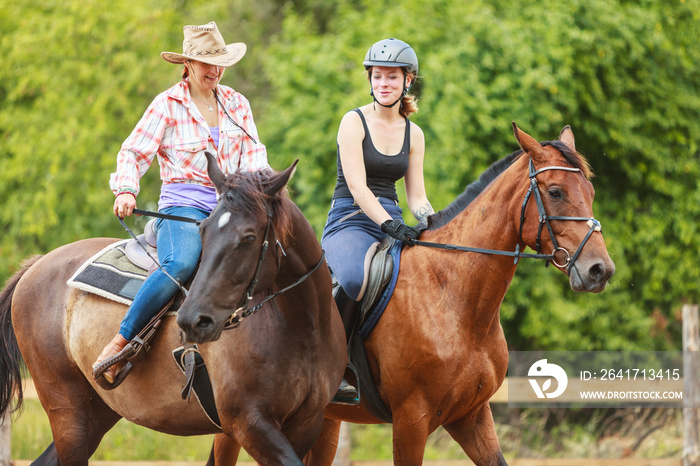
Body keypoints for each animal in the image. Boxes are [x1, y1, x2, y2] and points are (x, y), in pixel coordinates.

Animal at [0, 158, 348, 464]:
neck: (302, 327)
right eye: (203, 232)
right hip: (66, 409)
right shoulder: (249, 423)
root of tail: (36, 265)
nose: (193, 320)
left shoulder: (306, 424)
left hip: (97, 412)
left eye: (249, 237)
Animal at [211, 122, 616, 464]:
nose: (600, 270)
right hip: (237, 421)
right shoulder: (411, 419)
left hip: (322, 421)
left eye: (592, 192)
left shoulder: (472, 415)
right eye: (555, 192)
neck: (454, 297)